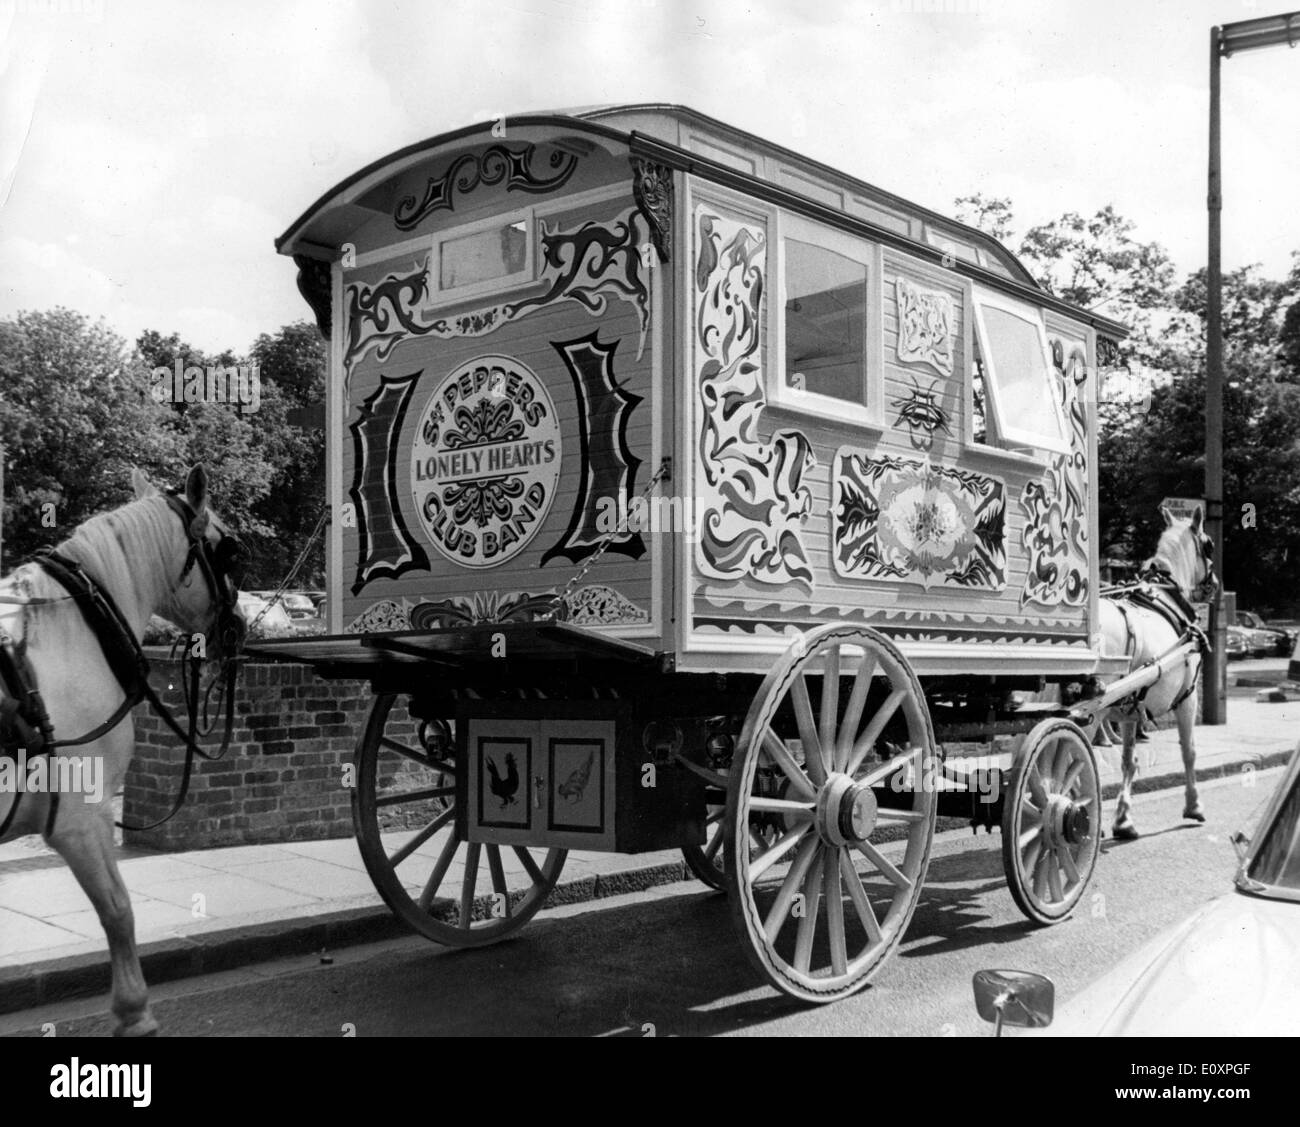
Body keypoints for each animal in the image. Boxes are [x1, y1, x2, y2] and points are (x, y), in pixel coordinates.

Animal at [0, 470, 244, 1039]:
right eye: (227, 550)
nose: (240, 627)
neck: (73, 635)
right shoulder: (79, 819)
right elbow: (118, 910)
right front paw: (135, 1012)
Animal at [1097, 506, 1216, 842]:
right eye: (1209, 545)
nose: (1215, 583)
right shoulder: (1188, 698)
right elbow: (1189, 751)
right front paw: (1194, 806)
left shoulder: (1127, 709)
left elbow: (1128, 760)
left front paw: (1123, 819)